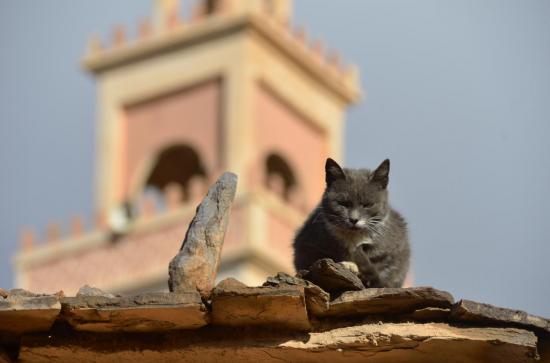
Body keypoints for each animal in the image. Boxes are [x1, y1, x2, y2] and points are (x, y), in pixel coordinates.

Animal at [296, 158, 412, 288]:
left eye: (367, 205)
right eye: (343, 203)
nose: (354, 219)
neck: (353, 238)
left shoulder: (394, 249)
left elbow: (383, 268)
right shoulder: (308, 244)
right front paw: (349, 265)